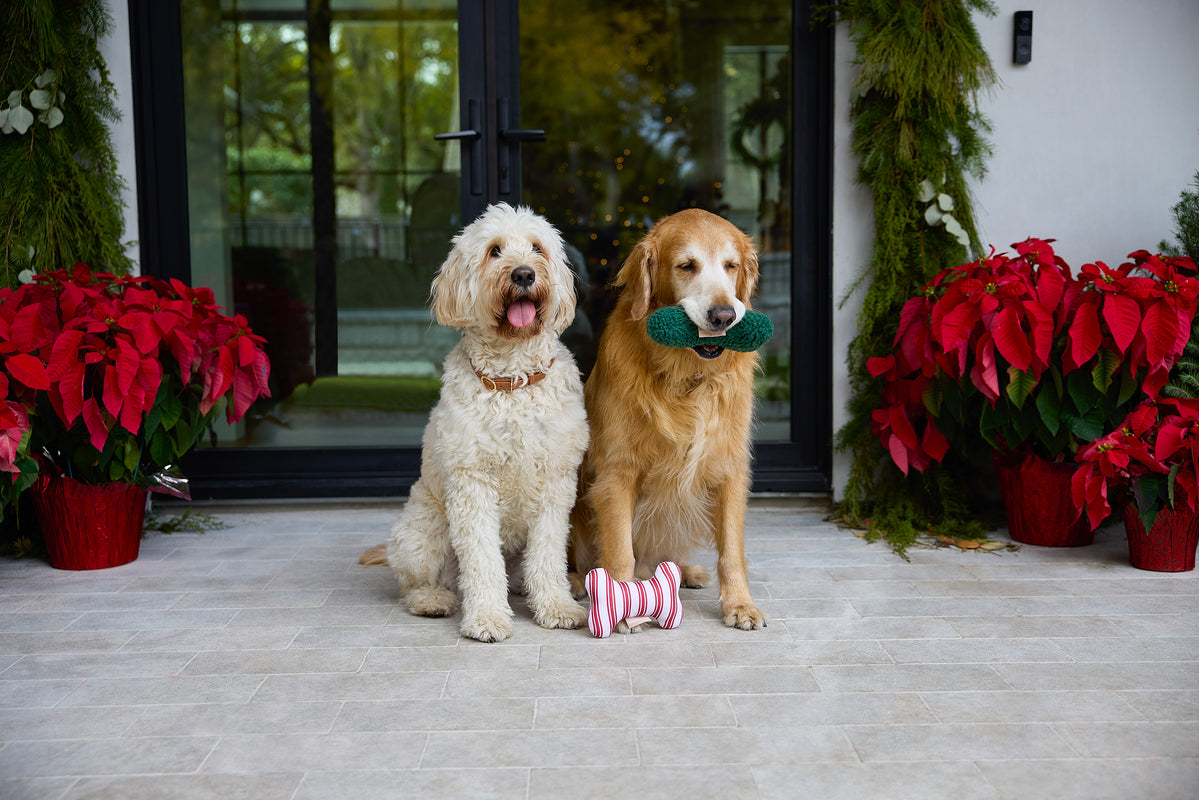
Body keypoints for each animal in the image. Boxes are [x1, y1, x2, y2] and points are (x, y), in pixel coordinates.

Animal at [364, 201, 589, 642]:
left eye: (536, 247)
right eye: (494, 251)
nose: (524, 274)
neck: (511, 383)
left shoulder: (555, 486)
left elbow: (548, 554)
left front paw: (555, 607)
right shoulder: (472, 485)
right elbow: (482, 561)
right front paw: (487, 618)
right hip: (424, 530)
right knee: (414, 583)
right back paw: (433, 600)